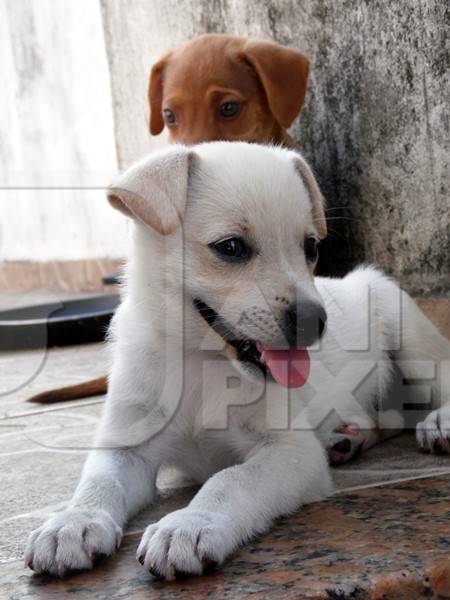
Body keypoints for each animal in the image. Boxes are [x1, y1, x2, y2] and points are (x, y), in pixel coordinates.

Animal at [25, 143, 450, 580]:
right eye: (230, 247)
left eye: (311, 248)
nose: (315, 322)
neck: (199, 362)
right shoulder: (127, 446)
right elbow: (98, 480)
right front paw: (73, 521)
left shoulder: (290, 452)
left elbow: (231, 479)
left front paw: (189, 524)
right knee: (385, 416)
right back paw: (347, 439)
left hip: (403, 322)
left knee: (440, 375)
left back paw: (438, 423)